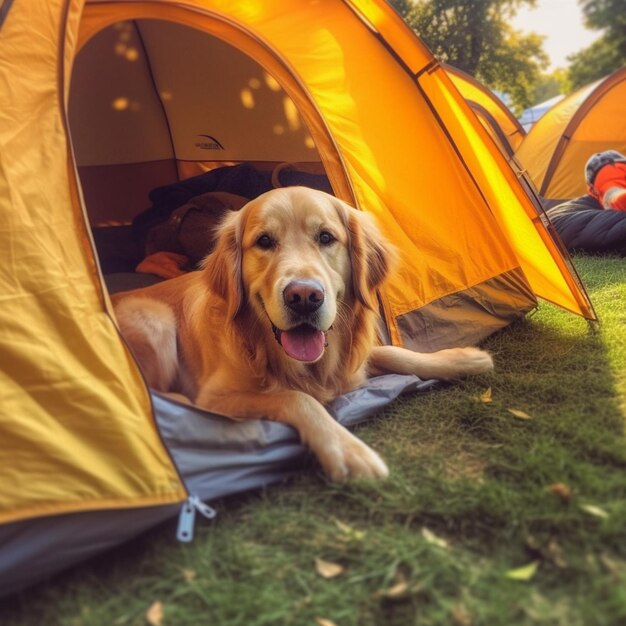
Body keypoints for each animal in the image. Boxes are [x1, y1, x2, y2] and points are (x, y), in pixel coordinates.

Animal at [113, 185, 492, 478]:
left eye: (326, 237)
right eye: (264, 241)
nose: (305, 297)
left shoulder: (349, 362)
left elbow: (395, 352)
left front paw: (462, 359)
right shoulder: (217, 397)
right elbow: (297, 397)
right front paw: (347, 449)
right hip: (153, 317)